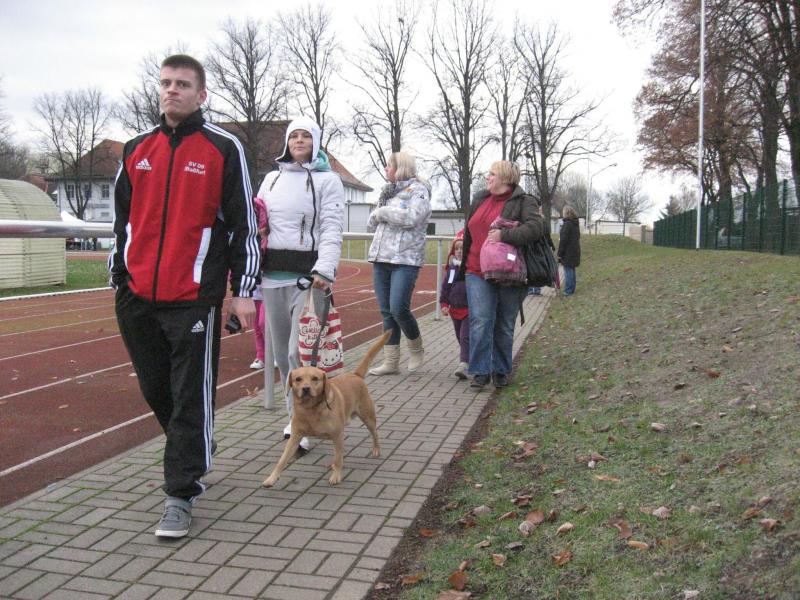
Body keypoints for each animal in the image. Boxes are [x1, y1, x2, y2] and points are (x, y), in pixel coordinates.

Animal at [262, 330, 392, 487]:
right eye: (298, 379)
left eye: (315, 378)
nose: (306, 389)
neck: (311, 409)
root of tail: (355, 375)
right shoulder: (295, 437)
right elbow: (282, 460)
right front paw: (272, 478)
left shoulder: (337, 435)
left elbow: (338, 458)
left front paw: (336, 475)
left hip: (368, 417)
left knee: (374, 434)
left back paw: (376, 449)